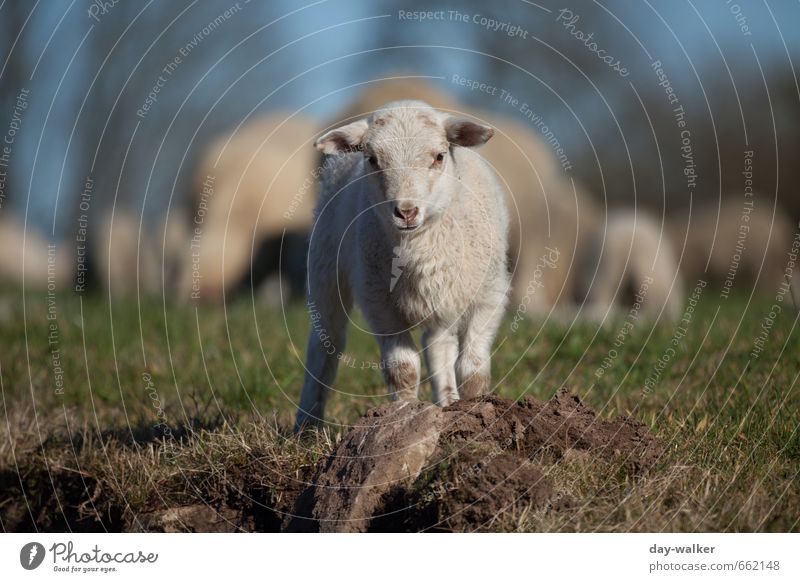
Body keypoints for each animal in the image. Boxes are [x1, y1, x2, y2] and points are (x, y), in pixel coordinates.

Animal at [296, 100, 510, 432]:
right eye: (372, 159)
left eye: (439, 156)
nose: (406, 212)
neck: (418, 248)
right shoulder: (379, 303)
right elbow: (403, 368)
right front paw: (405, 417)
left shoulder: (488, 296)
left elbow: (472, 368)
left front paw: (477, 411)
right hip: (324, 264)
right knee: (324, 344)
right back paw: (305, 426)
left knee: (438, 345)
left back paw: (448, 402)